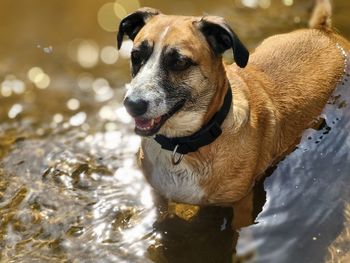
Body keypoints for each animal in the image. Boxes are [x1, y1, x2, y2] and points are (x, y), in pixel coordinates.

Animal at [117, 0, 348, 211]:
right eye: (136, 56)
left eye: (179, 62)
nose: (132, 104)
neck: (183, 145)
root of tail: (323, 31)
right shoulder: (158, 196)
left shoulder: (240, 202)